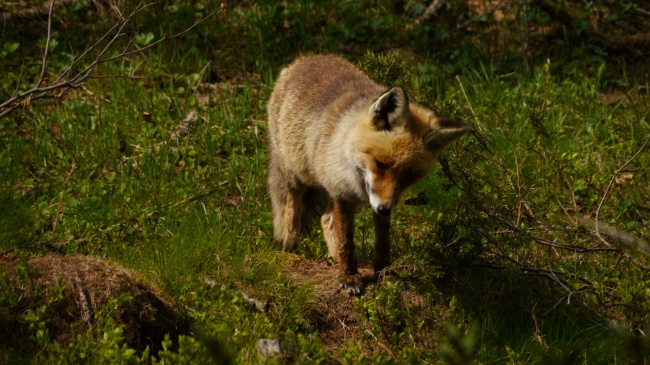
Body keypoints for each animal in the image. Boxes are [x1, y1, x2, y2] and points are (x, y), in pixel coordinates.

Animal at [264, 53, 470, 292]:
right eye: (380, 164)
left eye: (409, 176)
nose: (385, 209)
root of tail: (306, 58)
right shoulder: (341, 192)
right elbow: (347, 241)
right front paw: (349, 276)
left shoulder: (373, 199)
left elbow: (382, 242)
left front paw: (383, 272)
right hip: (296, 177)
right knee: (292, 214)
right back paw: (291, 251)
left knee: (325, 219)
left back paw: (333, 259)